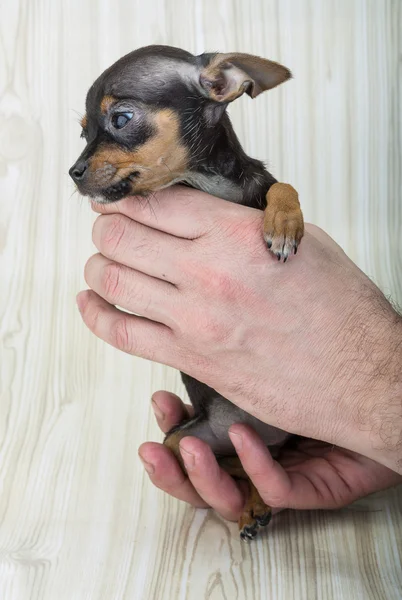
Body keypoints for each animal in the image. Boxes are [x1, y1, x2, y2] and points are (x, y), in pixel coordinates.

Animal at [70, 44, 304, 540]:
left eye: (121, 119)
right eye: (83, 130)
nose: (73, 172)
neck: (206, 184)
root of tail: (264, 435)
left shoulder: (260, 184)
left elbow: (282, 185)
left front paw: (283, 223)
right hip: (186, 439)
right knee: (238, 464)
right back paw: (255, 502)